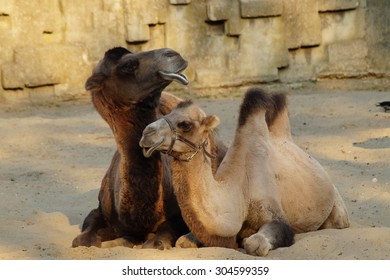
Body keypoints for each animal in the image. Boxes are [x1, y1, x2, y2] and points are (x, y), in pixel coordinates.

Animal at [140, 87, 350, 256]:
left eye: (185, 124)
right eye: (169, 112)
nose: (146, 133)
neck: (239, 188)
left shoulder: (274, 212)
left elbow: (256, 243)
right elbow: (183, 241)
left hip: (335, 204)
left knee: (338, 222)